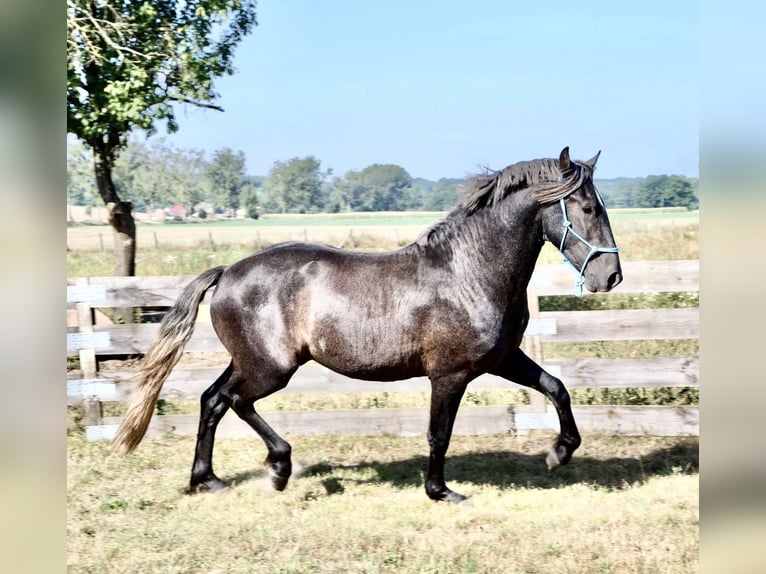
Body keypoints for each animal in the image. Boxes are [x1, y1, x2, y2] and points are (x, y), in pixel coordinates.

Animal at [117, 147, 628, 504]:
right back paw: (278, 468)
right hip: (271, 368)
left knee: (213, 400)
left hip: (248, 361)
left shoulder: (502, 359)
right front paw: (441, 491)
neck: (468, 272)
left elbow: (556, 387)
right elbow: (439, 433)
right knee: (236, 402)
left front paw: (559, 453)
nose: (610, 276)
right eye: (587, 208)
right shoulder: (450, 374)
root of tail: (227, 272)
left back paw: (208, 480)